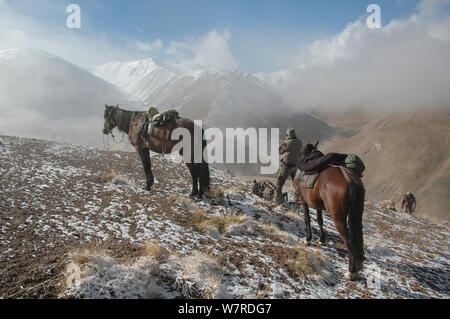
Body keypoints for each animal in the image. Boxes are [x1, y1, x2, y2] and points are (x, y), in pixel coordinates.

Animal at [296, 142, 366, 280]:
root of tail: (350, 179)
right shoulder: (318, 205)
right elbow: (320, 220)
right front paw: (322, 239)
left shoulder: (303, 201)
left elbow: (307, 219)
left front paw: (308, 239)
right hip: (356, 214)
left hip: (337, 217)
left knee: (349, 241)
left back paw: (351, 271)